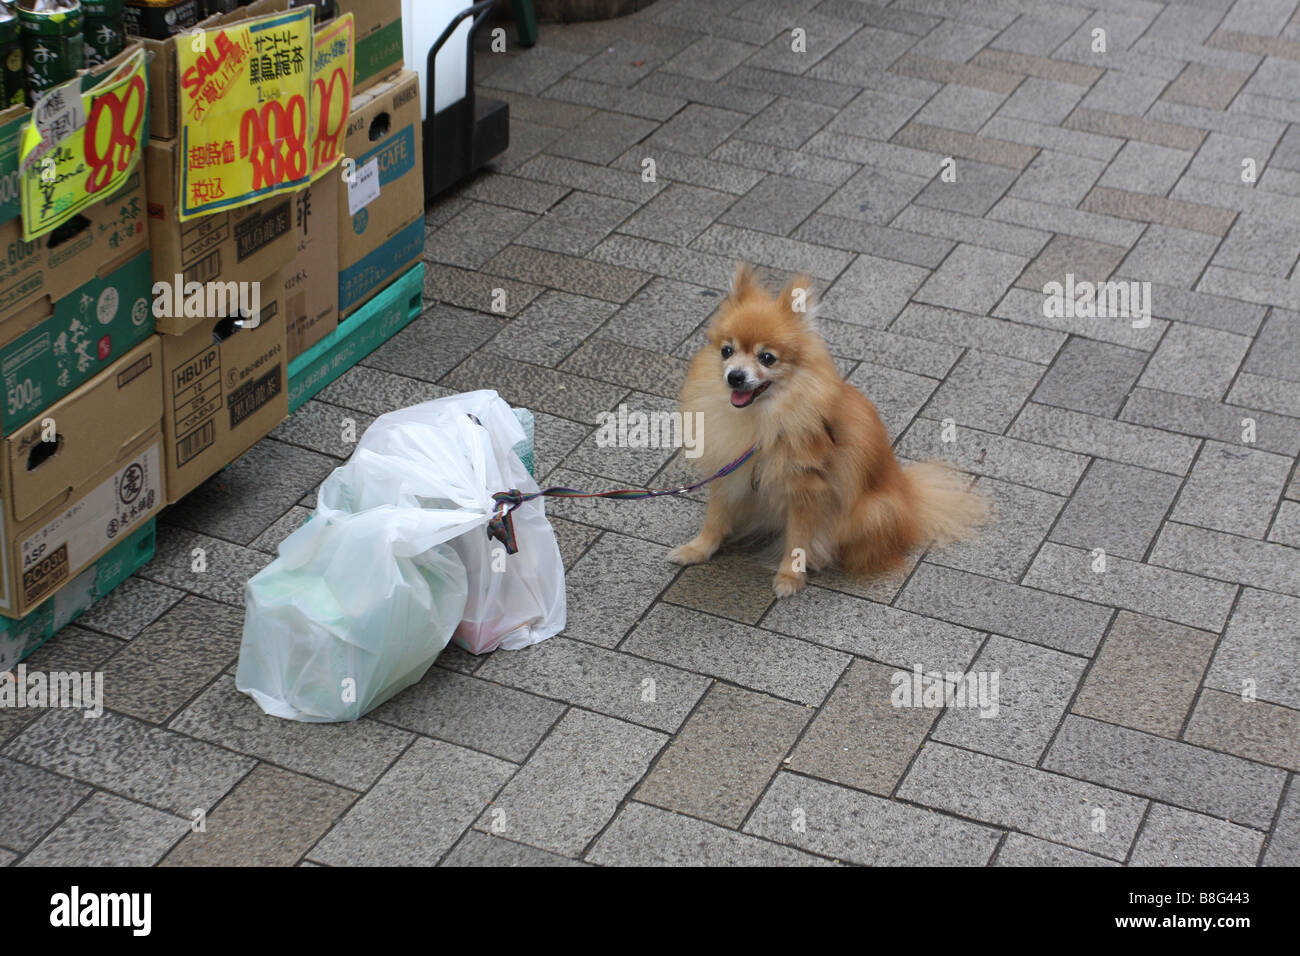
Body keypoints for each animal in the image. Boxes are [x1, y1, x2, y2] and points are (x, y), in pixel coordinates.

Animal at [676, 264, 987, 598]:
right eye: (726, 351)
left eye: (766, 358)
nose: (735, 376)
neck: (762, 418)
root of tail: (909, 496)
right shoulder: (728, 470)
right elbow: (715, 517)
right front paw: (697, 549)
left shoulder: (806, 489)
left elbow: (798, 539)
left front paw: (789, 577)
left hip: (870, 512)